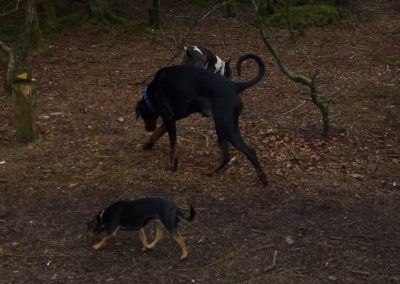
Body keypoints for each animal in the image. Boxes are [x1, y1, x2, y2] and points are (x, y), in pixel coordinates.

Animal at [134, 53, 268, 186]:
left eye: (143, 115)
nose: (148, 129)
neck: (152, 92)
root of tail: (234, 86)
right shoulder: (174, 117)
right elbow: (158, 132)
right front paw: (148, 144)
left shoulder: (169, 117)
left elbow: (173, 147)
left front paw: (172, 166)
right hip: (222, 127)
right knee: (226, 156)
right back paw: (210, 172)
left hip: (226, 127)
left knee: (250, 152)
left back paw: (262, 178)